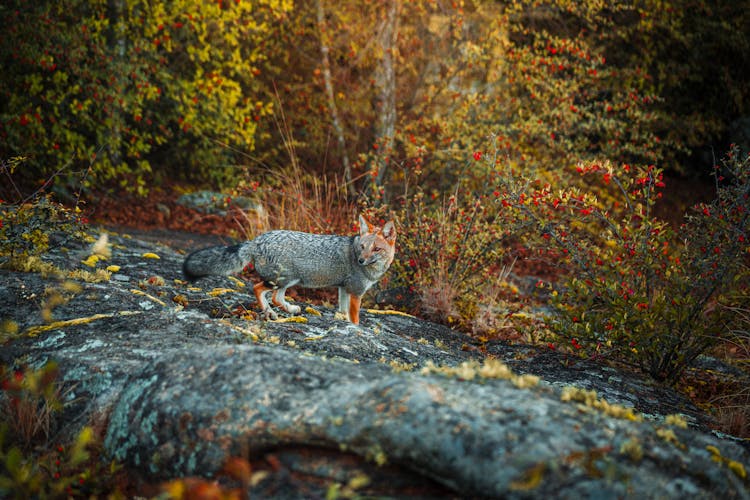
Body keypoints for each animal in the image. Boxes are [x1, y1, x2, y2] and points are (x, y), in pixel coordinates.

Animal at [184, 214, 396, 324]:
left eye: (376, 249)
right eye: (362, 247)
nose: (360, 260)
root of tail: (257, 240)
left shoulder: (344, 289)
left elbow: (343, 312)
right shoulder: (356, 292)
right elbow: (355, 318)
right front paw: (356, 329)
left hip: (289, 281)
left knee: (276, 297)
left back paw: (287, 309)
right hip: (286, 279)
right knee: (259, 289)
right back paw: (270, 312)